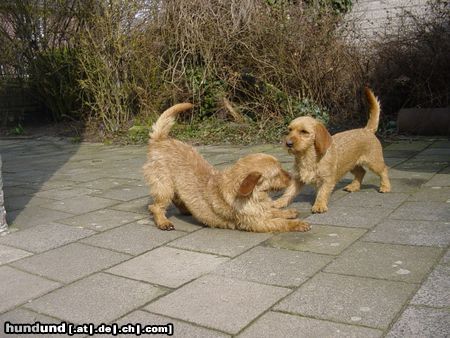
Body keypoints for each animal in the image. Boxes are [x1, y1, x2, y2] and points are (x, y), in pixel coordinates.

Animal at [143, 103, 310, 232]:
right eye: (276, 174)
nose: (292, 178)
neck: (256, 195)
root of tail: (160, 140)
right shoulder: (257, 222)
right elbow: (280, 222)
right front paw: (297, 224)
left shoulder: (263, 210)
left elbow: (274, 211)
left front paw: (289, 212)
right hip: (164, 186)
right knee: (155, 207)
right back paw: (163, 222)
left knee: (176, 199)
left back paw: (186, 210)